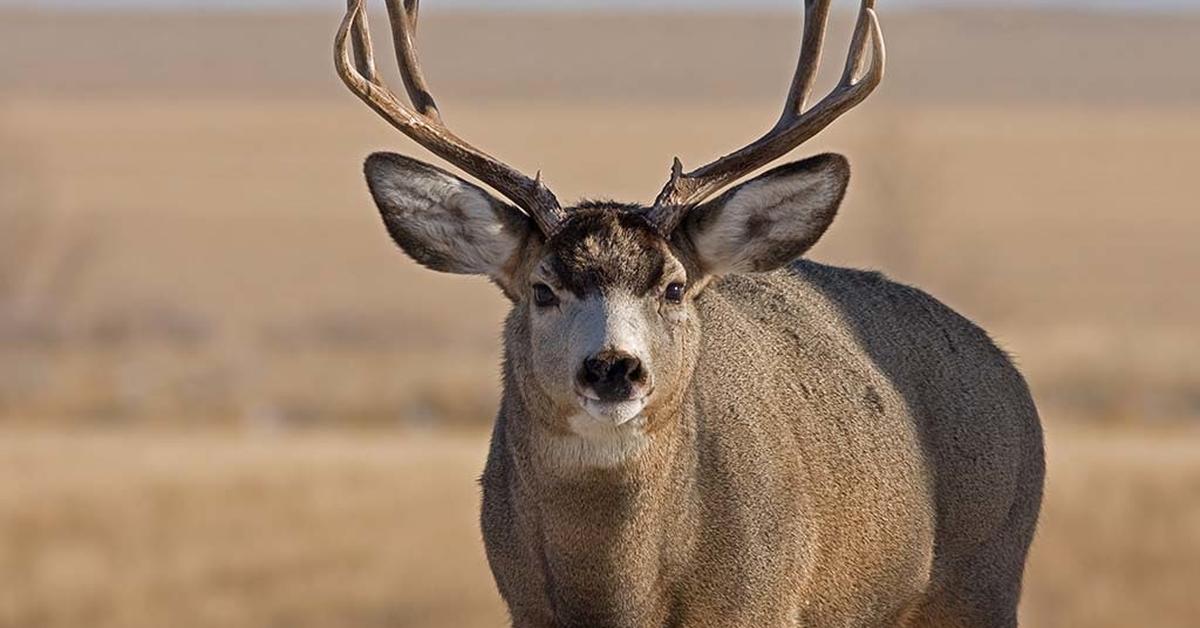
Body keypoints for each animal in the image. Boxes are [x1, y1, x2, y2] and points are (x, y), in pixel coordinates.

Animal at [336, 2, 1041, 624]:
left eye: (673, 287)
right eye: (542, 288)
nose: (614, 368)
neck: (619, 601)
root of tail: (1006, 372)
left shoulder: (760, 602)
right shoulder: (525, 606)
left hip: (990, 568)